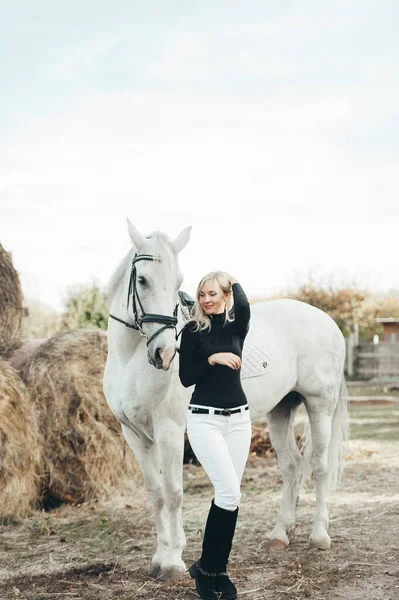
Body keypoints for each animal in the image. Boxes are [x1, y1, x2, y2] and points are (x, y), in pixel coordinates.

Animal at [104, 220, 350, 580]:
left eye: (178, 281)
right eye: (142, 279)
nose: (165, 353)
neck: (129, 361)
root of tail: (327, 322)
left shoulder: (169, 431)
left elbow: (173, 492)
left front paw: (173, 561)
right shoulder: (134, 434)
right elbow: (155, 494)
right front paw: (159, 557)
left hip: (319, 406)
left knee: (318, 466)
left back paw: (319, 535)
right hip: (281, 410)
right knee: (291, 466)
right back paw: (280, 534)